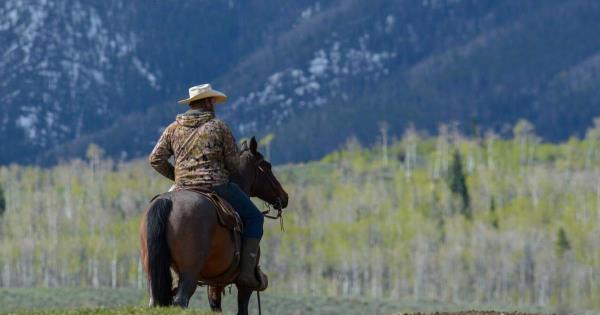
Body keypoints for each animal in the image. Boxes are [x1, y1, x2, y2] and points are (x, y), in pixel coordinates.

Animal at [141, 138, 290, 315]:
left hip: (153, 272)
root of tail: (167, 202)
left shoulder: (214, 282)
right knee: (181, 300)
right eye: (267, 166)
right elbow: (242, 307)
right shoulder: (244, 286)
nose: (284, 197)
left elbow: (215, 306)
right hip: (189, 273)